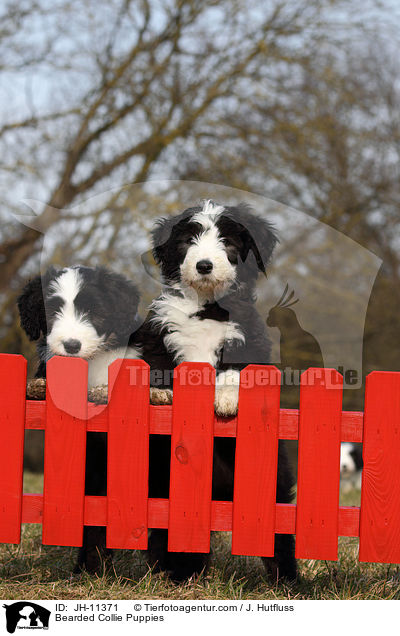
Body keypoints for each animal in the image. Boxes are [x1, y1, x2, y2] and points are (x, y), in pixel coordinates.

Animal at [136, 201, 296, 584]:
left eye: (228, 242)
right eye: (188, 241)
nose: (204, 265)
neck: (206, 308)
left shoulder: (249, 341)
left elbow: (237, 371)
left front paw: (225, 399)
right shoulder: (158, 337)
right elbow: (161, 366)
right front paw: (162, 394)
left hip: (274, 480)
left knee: (280, 530)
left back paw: (288, 581)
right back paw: (178, 573)